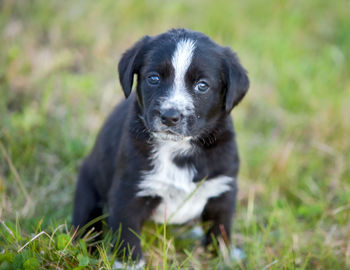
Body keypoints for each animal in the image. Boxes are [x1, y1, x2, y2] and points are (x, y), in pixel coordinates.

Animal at [72, 28, 249, 266]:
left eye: (202, 85)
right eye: (153, 78)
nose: (169, 116)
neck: (179, 150)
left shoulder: (222, 189)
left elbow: (220, 229)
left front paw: (223, 257)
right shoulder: (128, 191)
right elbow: (127, 236)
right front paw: (128, 265)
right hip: (88, 189)